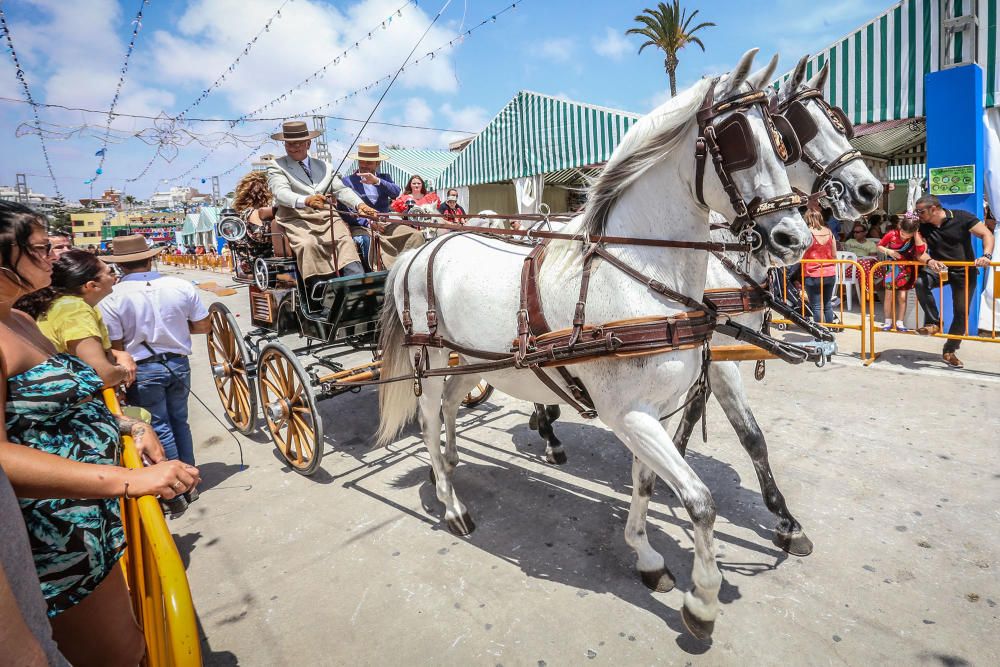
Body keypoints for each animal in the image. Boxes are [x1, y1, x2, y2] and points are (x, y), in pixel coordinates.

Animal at [376, 48, 812, 640]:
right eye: (738, 140)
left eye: (783, 140)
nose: (795, 239)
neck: (639, 274)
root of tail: (421, 247)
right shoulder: (628, 413)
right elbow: (700, 502)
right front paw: (702, 600)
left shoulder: (652, 412)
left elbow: (647, 485)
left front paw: (646, 557)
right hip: (430, 358)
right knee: (424, 418)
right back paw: (451, 505)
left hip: (468, 362)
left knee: (446, 409)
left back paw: (450, 458)